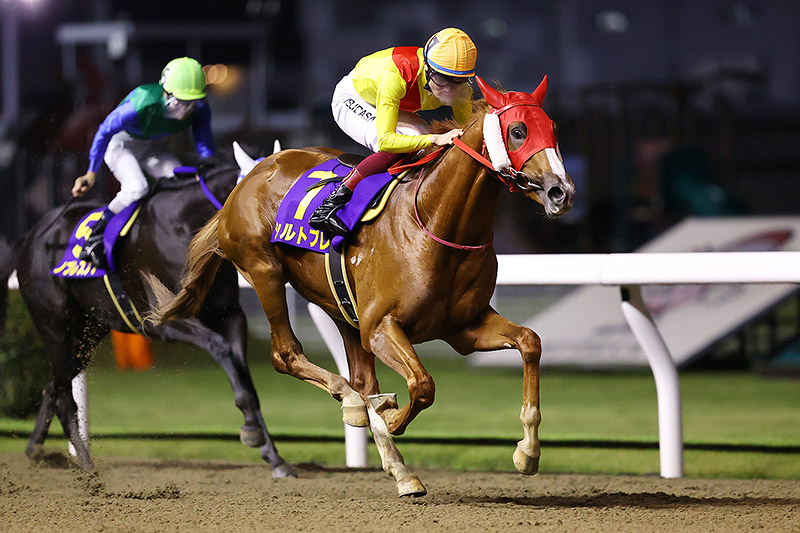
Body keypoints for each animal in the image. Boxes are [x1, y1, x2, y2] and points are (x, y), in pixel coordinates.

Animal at [0, 153, 295, 478]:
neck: (185, 225)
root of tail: (29, 237)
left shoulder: (230, 317)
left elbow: (246, 380)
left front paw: (274, 456)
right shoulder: (164, 321)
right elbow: (221, 350)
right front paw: (252, 431)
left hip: (86, 331)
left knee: (54, 385)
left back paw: (36, 449)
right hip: (54, 325)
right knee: (64, 395)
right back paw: (87, 465)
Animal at [150, 76, 574, 496]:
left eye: (553, 128)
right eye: (517, 131)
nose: (562, 192)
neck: (436, 222)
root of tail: (250, 176)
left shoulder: (464, 328)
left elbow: (530, 341)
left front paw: (527, 452)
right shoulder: (382, 327)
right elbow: (422, 385)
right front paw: (392, 418)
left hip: (339, 305)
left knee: (361, 377)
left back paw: (389, 451)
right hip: (264, 270)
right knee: (287, 355)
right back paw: (352, 403)